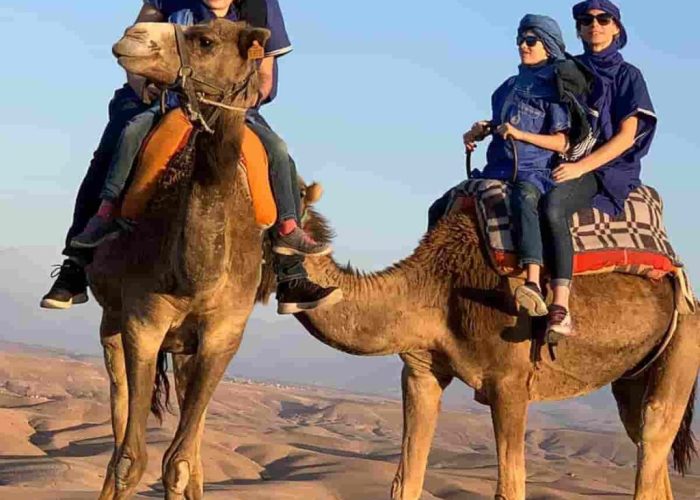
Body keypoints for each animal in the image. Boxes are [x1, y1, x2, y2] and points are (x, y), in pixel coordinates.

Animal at [86, 18, 272, 496]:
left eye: (204, 41)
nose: (133, 35)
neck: (196, 277)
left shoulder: (224, 337)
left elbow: (180, 462)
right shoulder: (142, 323)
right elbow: (131, 459)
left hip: (188, 350)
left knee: (192, 448)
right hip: (112, 323)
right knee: (117, 431)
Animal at [276, 192, 696, 500]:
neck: (440, 281)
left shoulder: (509, 381)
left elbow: (509, 486)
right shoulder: (421, 369)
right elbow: (404, 480)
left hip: (686, 338)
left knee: (654, 429)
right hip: (633, 375)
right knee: (641, 434)